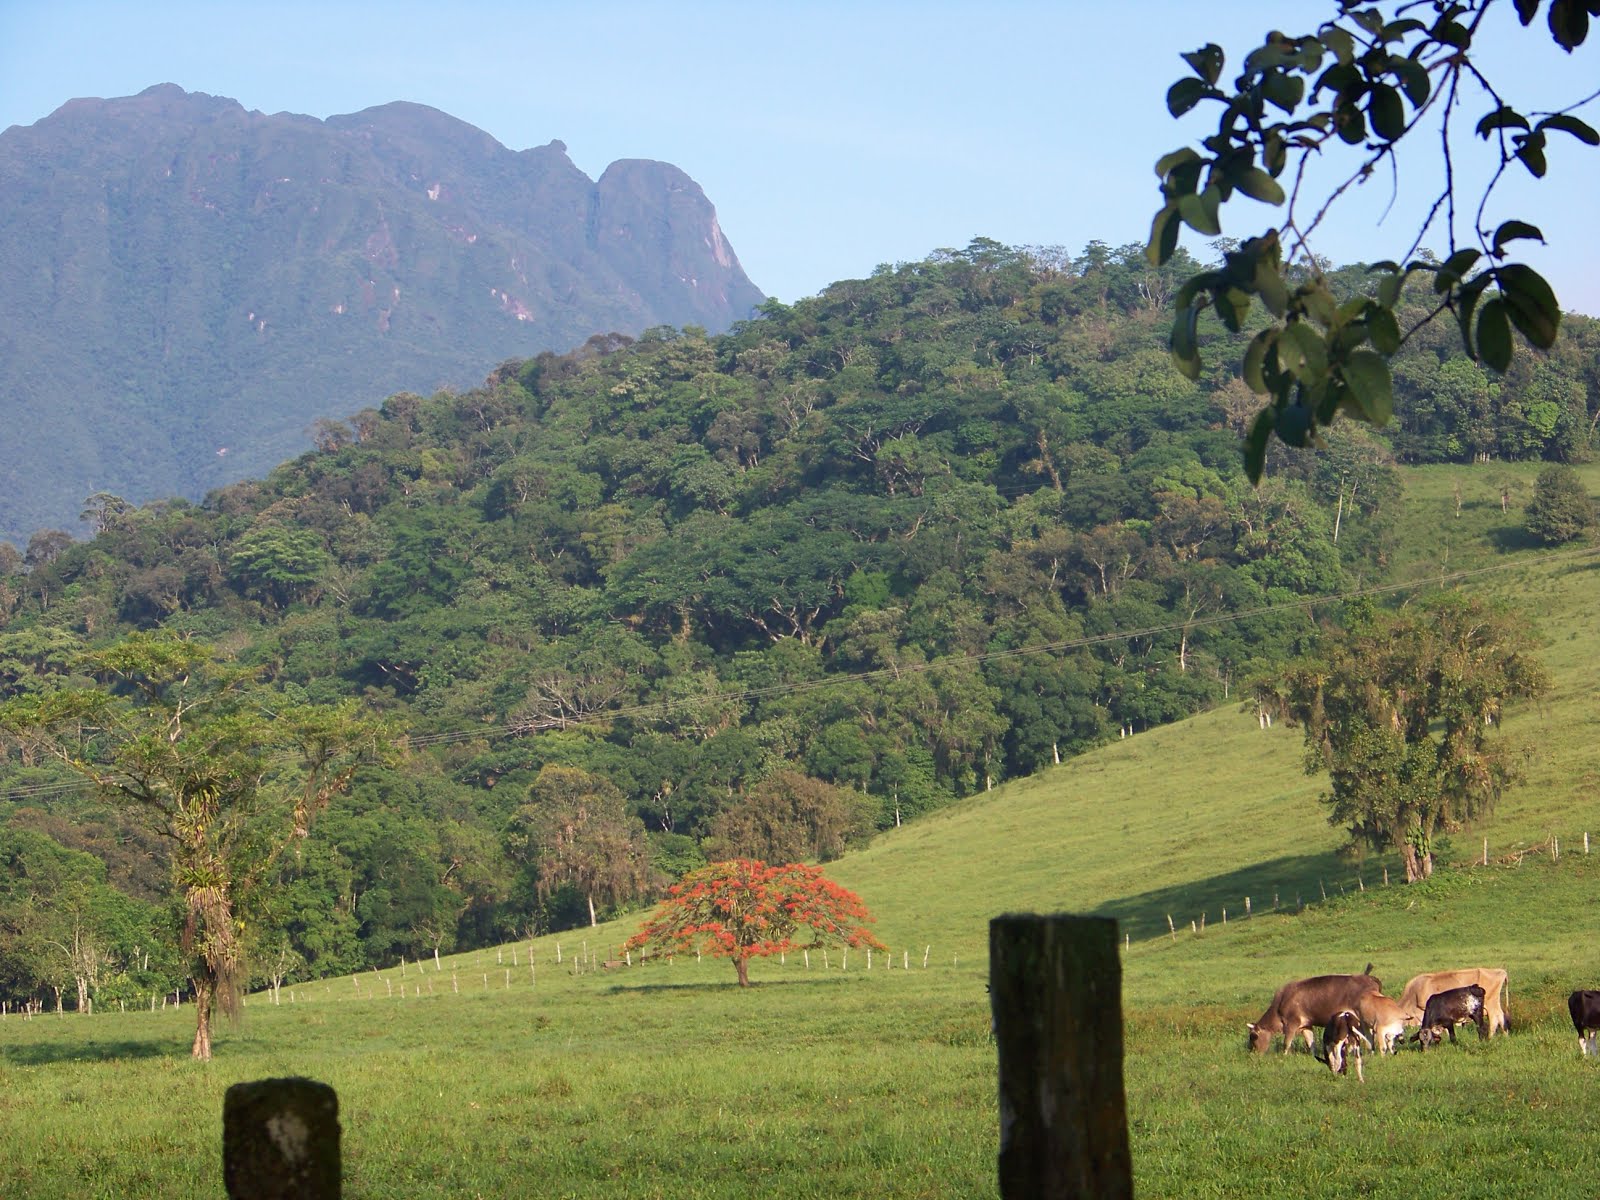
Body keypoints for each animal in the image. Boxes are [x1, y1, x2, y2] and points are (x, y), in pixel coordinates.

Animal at [1241, 972, 1382, 1056]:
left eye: (1253, 1036)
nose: (1252, 1053)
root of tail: (1370, 977)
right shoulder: (1305, 1025)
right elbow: (1310, 1042)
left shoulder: (1291, 1022)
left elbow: (1287, 1042)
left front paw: (1283, 1056)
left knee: (1370, 1035)